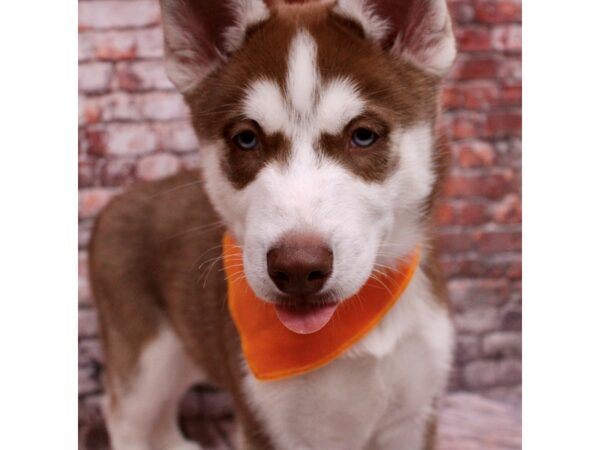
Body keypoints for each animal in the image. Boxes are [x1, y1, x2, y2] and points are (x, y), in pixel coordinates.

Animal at [88, 0, 454, 448]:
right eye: (246, 139)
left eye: (363, 136)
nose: (297, 269)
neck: (352, 327)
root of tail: (118, 200)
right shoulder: (266, 421)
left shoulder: (414, 415)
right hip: (144, 365)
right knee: (128, 418)